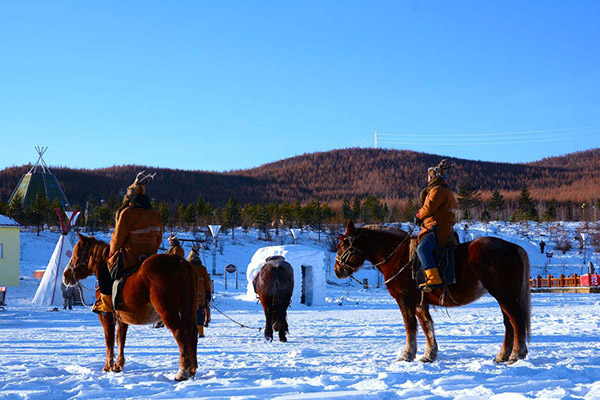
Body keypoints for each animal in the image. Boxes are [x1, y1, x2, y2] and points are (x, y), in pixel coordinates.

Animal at [63, 234, 199, 382]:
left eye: (77, 252)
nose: (65, 275)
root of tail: (180, 263)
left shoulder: (106, 317)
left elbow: (109, 341)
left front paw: (108, 366)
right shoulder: (122, 319)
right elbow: (120, 339)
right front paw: (118, 365)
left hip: (168, 313)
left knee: (180, 333)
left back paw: (182, 371)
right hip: (189, 309)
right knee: (192, 333)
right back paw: (192, 369)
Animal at [336, 222, 532, 366]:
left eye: (344, 244)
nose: (337, 270)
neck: (397, 256)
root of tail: (514, 247)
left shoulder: (405, 300)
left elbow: (410, 327)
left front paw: (407, 355)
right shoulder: (420, 303)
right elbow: (427, 326)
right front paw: (429, 354)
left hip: (504, 295)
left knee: (516, 321)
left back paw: (516, 354)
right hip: (504, 296)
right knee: (509, 324)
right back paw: (503, 355)